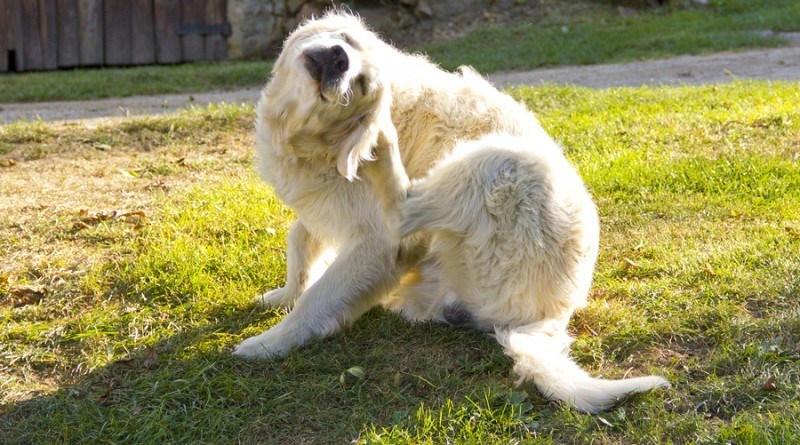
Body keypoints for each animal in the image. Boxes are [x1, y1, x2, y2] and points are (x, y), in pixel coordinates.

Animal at [234, 10, 672, 412]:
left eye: (361, 85)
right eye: (345, 41)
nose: (341, 58)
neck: (313, 141)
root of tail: (551, 315)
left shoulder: (376, 243)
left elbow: (318, 298)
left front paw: (269, 343)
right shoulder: (323, 206)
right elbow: (300, 240)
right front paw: (284, 294)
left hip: (502, 160)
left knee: (405, 210)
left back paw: (384, 146)